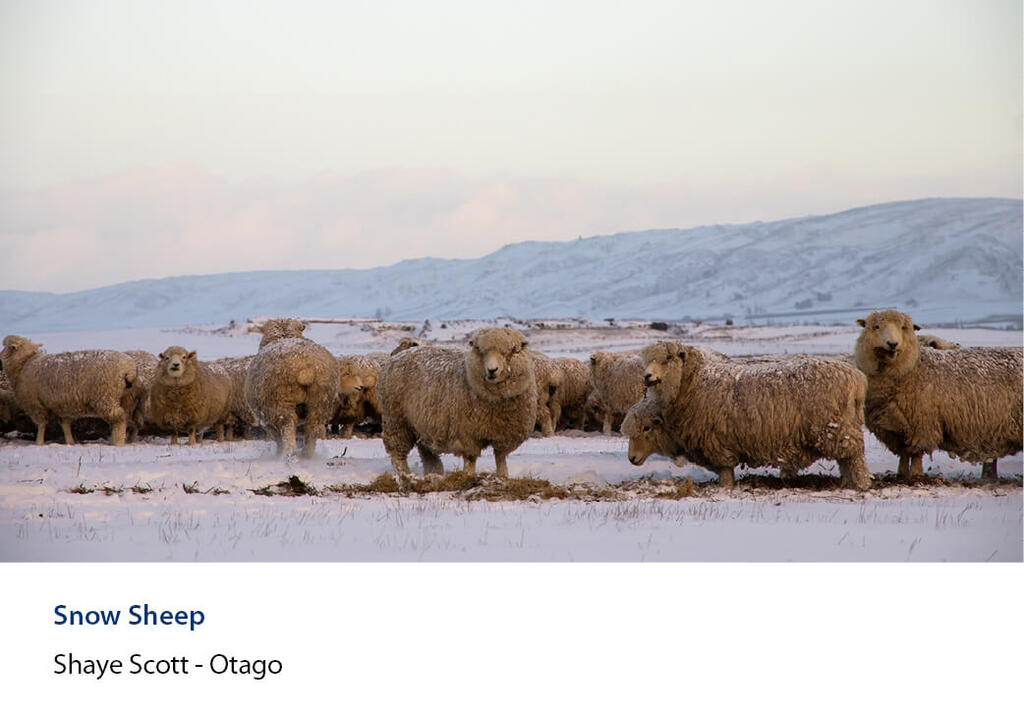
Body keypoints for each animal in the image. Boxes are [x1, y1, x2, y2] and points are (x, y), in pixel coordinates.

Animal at [0, 335, 138, 446]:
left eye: (6, 347)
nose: (0, 356)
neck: (24, 364)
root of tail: (128, 368)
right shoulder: (63, 406)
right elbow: (65, 425)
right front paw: (70, 442)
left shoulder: (36, 405)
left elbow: (42, 425)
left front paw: (38, 443)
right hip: (126, 398)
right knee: (125, 418)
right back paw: (118, 438)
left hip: (105, 397)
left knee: (119, 418)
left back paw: (118, 442)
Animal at [245, 318, 340, 459]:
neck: (284, 336)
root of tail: (306, 369)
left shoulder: (265, 418)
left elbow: (276, 437)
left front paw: (278, 452)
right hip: (320, 401)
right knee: (312, 426)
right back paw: (307, 454)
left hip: (280, 402)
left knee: (288, 426)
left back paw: (289, 454)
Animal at [377, 327, 537, 478]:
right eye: (479, 350)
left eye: (512, 350)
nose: (492, 370)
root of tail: (398, 355)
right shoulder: (467, 434)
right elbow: (470, 459)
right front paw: (468, 476)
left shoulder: (505, 436)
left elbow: (500, 458)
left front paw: (503, 476)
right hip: (396, 420)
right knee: (397, 454)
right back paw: (405, 475)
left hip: (423, 424)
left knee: (427, 453)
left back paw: (434, 473)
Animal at [641, 341, 873, 489]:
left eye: (668, 358)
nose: (647, 376)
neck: (691, 380)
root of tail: (856, 377)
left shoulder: (715, 440)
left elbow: (725, 469)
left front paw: (726, 487)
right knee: (847, 458)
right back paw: (848, 483)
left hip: (835, 426)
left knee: (854, 456)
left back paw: (860, 484)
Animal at [854, 310, 1023, 480]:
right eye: (876, 326)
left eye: (903, 327)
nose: (892, 344)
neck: (912, 367)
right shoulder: (896, 427)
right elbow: (904, 454)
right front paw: (901, 475)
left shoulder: (922, 425)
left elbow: (916, 454)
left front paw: (915, 475)